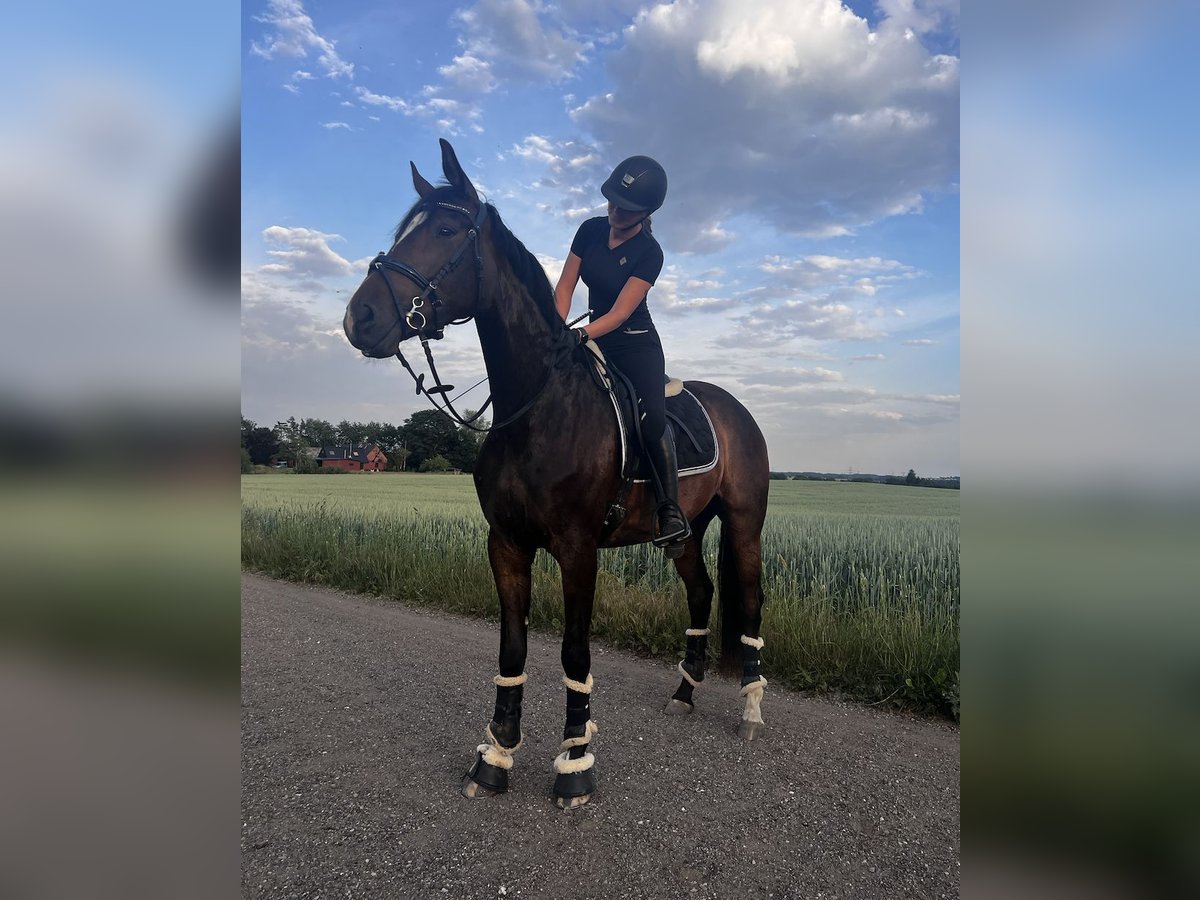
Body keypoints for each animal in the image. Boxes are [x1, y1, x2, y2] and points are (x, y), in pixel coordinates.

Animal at [340, 139, 768, 811]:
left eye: (443, 230)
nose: (360, 317)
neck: (538, 407)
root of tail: (736, 408)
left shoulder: (576, 549)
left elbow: (573, 650)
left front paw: (575, 763)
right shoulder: (507, 544)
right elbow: (512, 645)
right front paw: (496, 755)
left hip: (745, 525)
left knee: (748, 601)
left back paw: (750, 709)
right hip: (686, 533)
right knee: (702, 592)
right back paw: (683, 693)